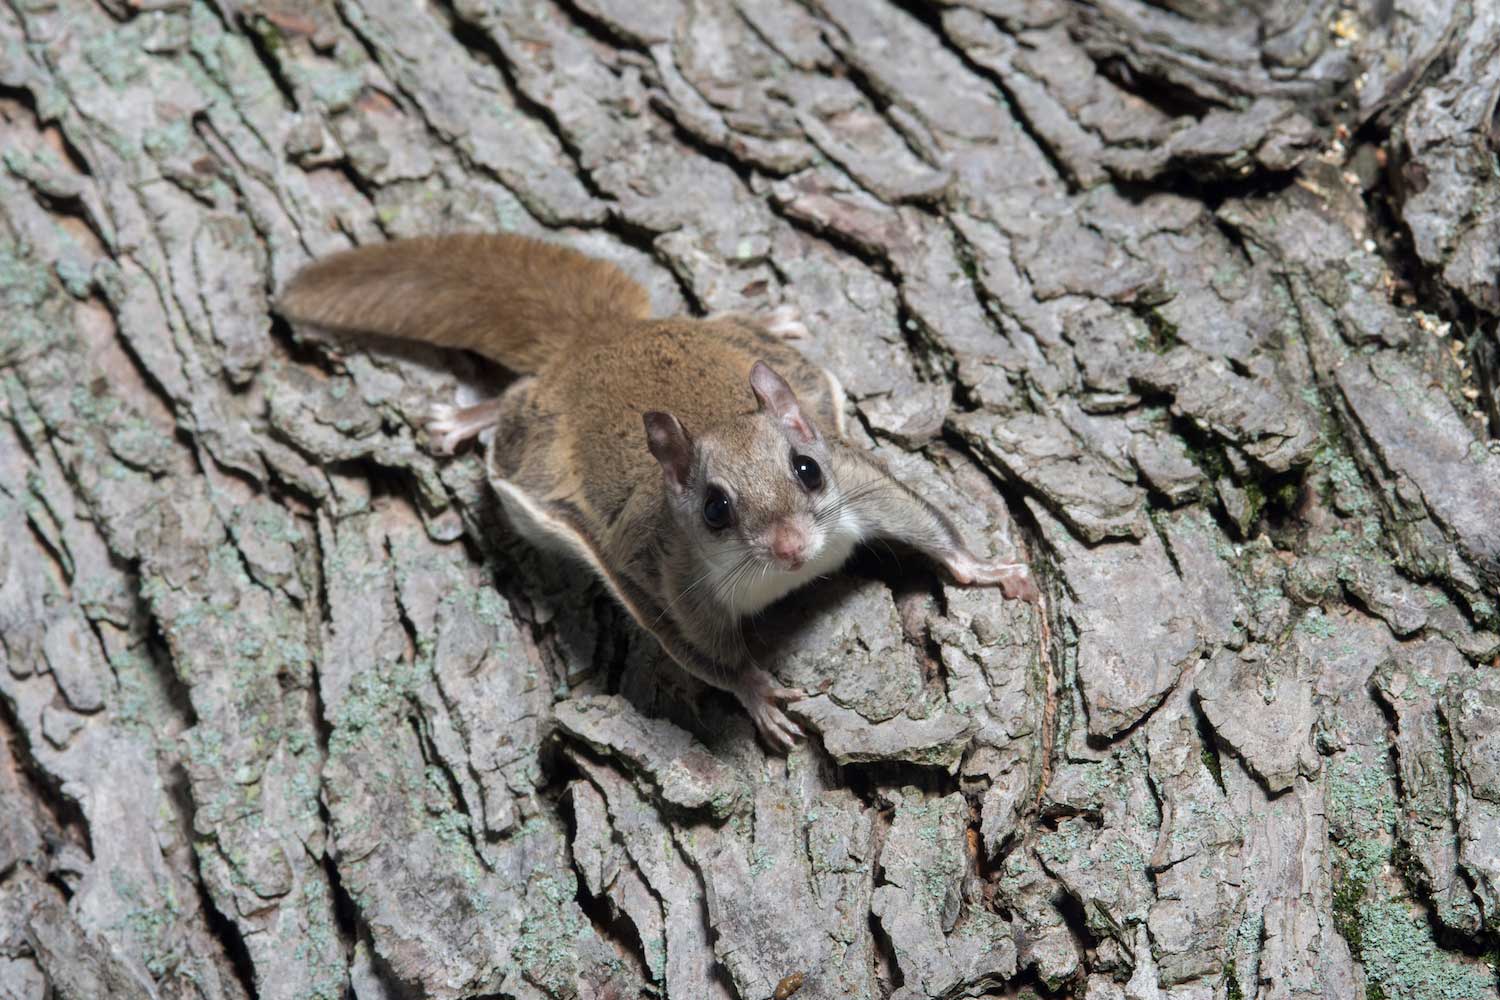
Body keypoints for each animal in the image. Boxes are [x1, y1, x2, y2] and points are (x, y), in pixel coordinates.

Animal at [279, 234, 1038, 750]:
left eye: (808, 470)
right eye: (714, 509)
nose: (794, 549)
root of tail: (598, 339)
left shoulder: (862, 484)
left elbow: (926, 520)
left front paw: (985, 569)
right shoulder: (667, 579)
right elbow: (701, 652)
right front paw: (759, 693)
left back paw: (766, 318)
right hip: (535, 439)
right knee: (513, 405)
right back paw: (467, 420)